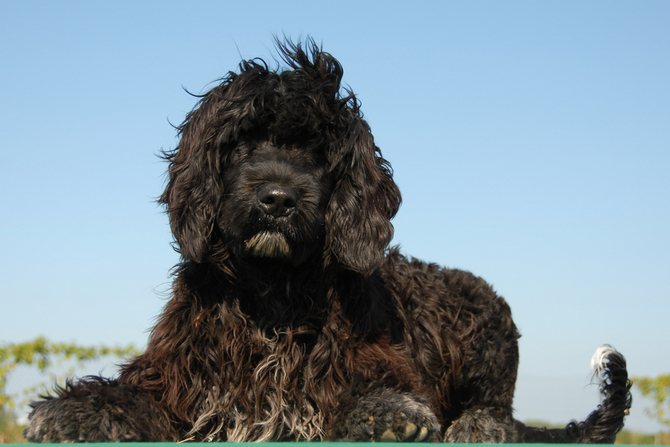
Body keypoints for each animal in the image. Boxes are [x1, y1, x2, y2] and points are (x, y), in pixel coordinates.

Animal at [22, 41, 632, 444]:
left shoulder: (368, 364)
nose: (277, 199)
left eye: (318, 152)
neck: (271, 294)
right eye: (241, 142)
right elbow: (133, 397)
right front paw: (76, 411)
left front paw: (388, 413)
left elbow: (375, 390)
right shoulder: (179, 381)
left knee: (500, 409)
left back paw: (478, 426)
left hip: (483, 321)